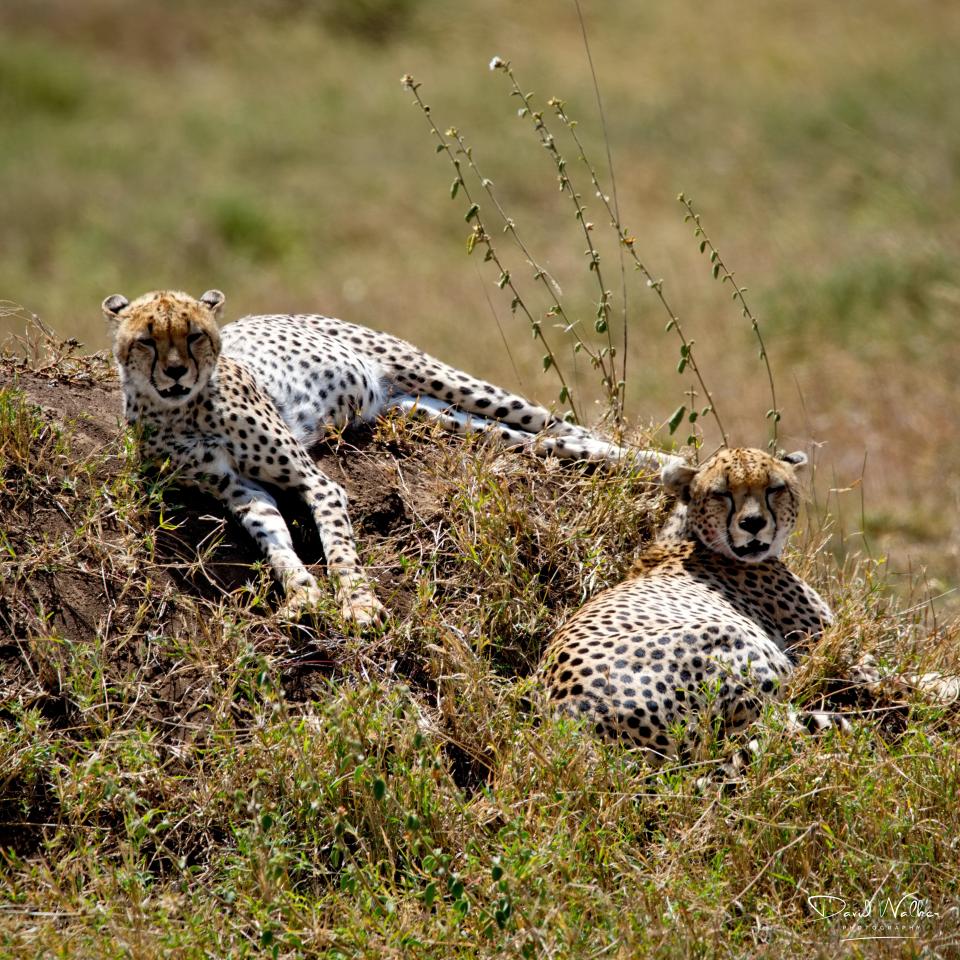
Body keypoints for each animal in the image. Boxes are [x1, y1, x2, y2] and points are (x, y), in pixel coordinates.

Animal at [105, 288, 680, 625]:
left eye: (195, 335)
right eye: (147, 340)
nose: (176, 372)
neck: (181, 411)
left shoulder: (316, 482)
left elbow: (340, 548)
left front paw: (358, 603)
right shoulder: (241, 491)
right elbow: (274, 539)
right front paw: (300, 592)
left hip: (446, 379)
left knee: (558, 423)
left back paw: (667, 463)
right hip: (430, 412)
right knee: (550, 442)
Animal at [540, 446, 853, 768]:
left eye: (773, 488)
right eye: (721, 493)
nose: (753, 523)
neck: (688, 534)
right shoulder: (823, 641)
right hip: (734, 641)